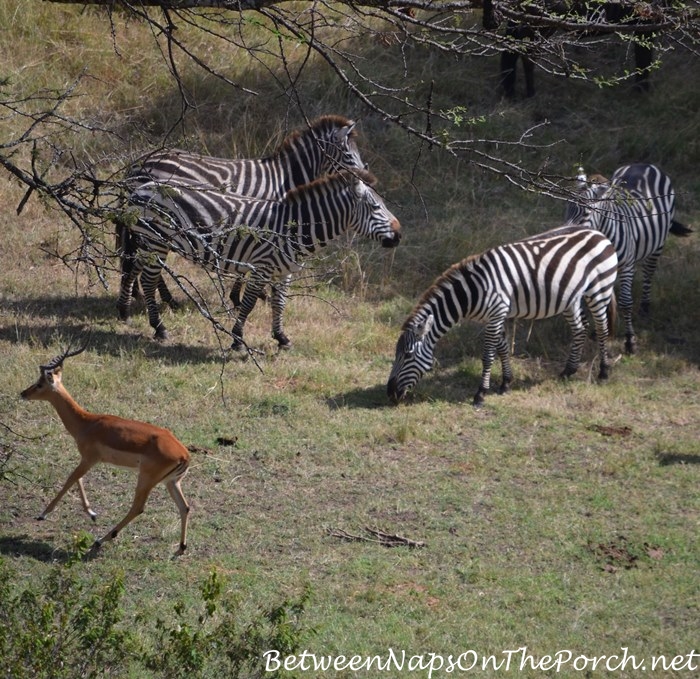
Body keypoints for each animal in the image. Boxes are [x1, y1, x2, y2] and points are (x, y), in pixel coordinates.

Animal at [119, 115, 372, 348]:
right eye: (349, 156)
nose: (368, 180)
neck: (283, 178)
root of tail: (137, 162)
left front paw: (244, 297)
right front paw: (244, 298)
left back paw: (143, 300)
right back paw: (159, 305)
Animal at [121, 169, 402, 348]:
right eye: (376, 208)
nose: (399, 236)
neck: (292, 227)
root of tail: (141, 188)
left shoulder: (284, 271)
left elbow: (279, 304)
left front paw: (281, 337)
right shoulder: (261, 268)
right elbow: (248, 304)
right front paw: (237, 339)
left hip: (148, 242)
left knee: (133, 269)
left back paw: (124, 310)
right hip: (156, 241)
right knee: (147, 280)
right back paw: (159, 327)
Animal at [386, 228, 616, 406]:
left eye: (407, 355)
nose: (389, 393)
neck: (474, 290)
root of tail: (597, 233)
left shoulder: (496, 313)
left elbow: (488, 355)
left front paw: (480, 394)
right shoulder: (497, 316)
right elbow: (503, 348)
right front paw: (506, 383)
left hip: (599, 289)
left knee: (602, 329)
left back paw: (604, 372)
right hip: (570, 298)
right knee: (580, 329)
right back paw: (568, 371)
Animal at [564, 165, 688, 356]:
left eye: (586, 212)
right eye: (567, 208)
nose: (564, 233)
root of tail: (644, 165)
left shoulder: (627, 266)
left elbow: (625, 302)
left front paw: (630, 341)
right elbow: (605, 301)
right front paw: (601, 330)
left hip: (657, 245)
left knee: (648, 273)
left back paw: (645, 307)